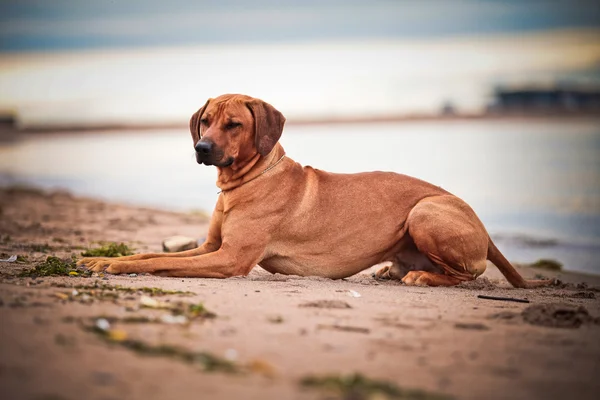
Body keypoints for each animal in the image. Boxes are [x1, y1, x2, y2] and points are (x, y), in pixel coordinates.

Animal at [79, 94, 552, 288]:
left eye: (234, 124)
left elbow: (161, 261)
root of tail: (483, 228)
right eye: (205, 121)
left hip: (426, 211)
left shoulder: (228, 259)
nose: (202, 148)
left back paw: (424, 276)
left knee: (469, 273)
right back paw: (392, 269)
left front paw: (112, 265)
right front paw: (99, 259)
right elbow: (146, 254)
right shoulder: (210, 247)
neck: (247, 181)